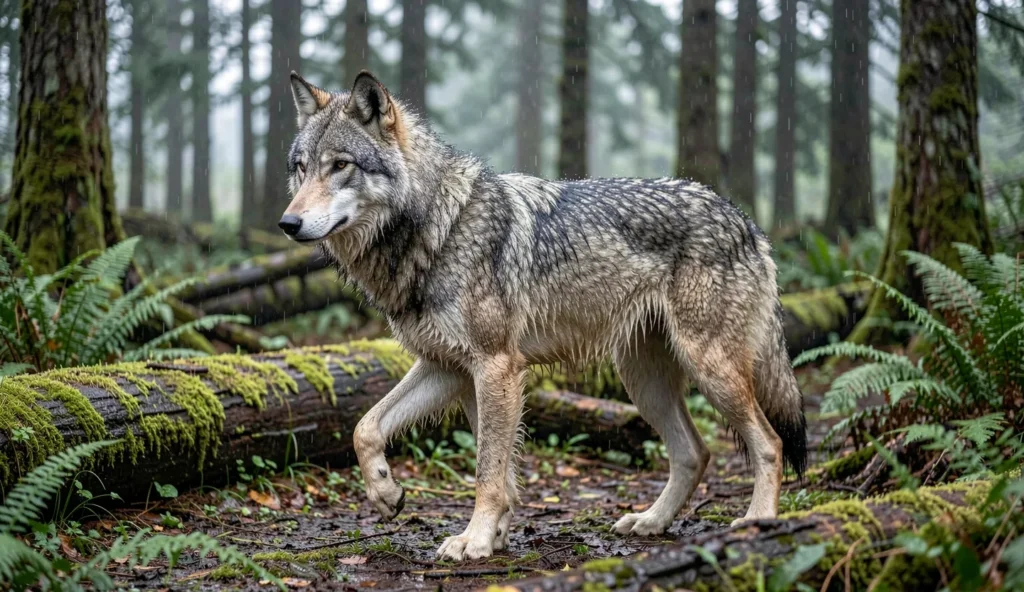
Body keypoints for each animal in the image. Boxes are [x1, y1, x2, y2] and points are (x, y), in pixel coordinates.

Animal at [278, 70, 807, 561]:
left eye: (340, 166)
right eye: (300, 169)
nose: (287, 223)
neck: (438, 228)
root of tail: (747, 222)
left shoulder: (495, 367)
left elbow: (487, 472)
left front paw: (474, 540)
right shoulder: (450, 369)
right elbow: (367, 428)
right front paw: (393, 496)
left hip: (709, 370)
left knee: (770, 443)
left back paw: (757, 520)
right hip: (643, 381)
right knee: (695, 453)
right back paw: (651, 522)